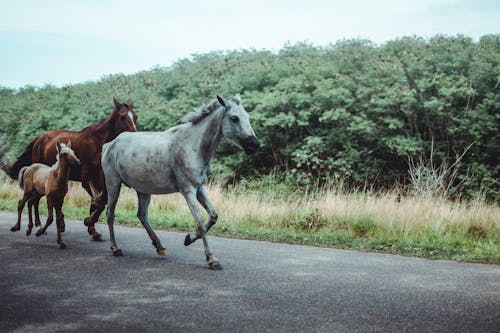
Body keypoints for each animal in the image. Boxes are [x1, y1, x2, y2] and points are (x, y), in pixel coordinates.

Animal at [0, 96, 137, 239]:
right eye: (122, 117)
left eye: (135, 117)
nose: (135, 135)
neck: (97, 144)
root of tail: (39, 138)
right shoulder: (87, 179)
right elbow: (99, 202)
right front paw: (88, 221)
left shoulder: (100, 179)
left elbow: (100, 202)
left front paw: (92, 228)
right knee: (34, 201)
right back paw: (39, 225)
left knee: (36, 200)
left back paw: (55, 224)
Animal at [100, 94, 260, 270]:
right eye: (234, 118)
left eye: (248, 117)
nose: (255, 144)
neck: (194, 146)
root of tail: (109, 144)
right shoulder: (188, 190)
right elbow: (200, 223)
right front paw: (212, 260)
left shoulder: (199, 188)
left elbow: (213, 216)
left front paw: (188, 238)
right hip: (113, 184)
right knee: (110, 214)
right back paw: (115, 248)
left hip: (142, 189)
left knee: (142, 215)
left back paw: (160, 247)